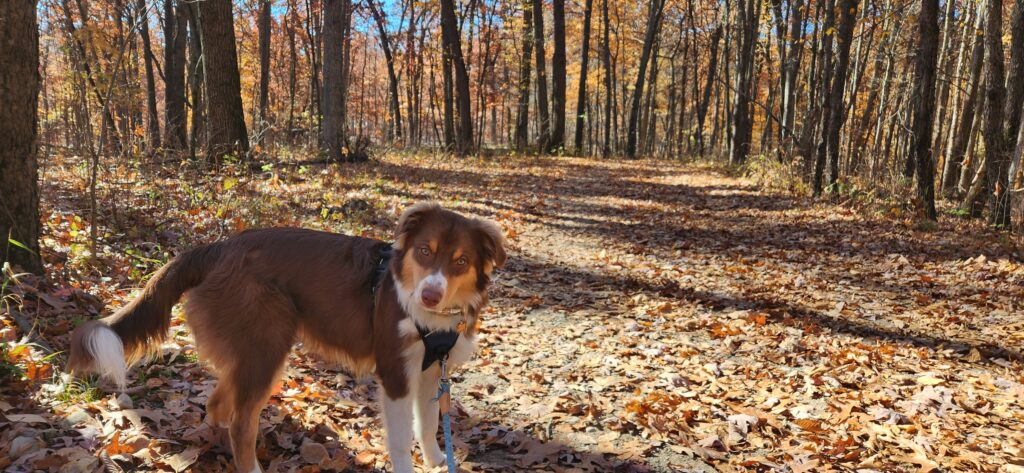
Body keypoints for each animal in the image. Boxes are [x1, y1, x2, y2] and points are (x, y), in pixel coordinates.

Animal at [66, 203, 505, 473]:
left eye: (460, 261)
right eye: (424, 252)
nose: (429, 294)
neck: (431, 316)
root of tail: (218, 247)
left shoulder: (432, 372)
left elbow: (428, 425)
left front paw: (436, 460)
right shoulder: (396, 374)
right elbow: (400, 439)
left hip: (251, 352)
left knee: (219, 405)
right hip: (267, 346)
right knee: (241, 421)